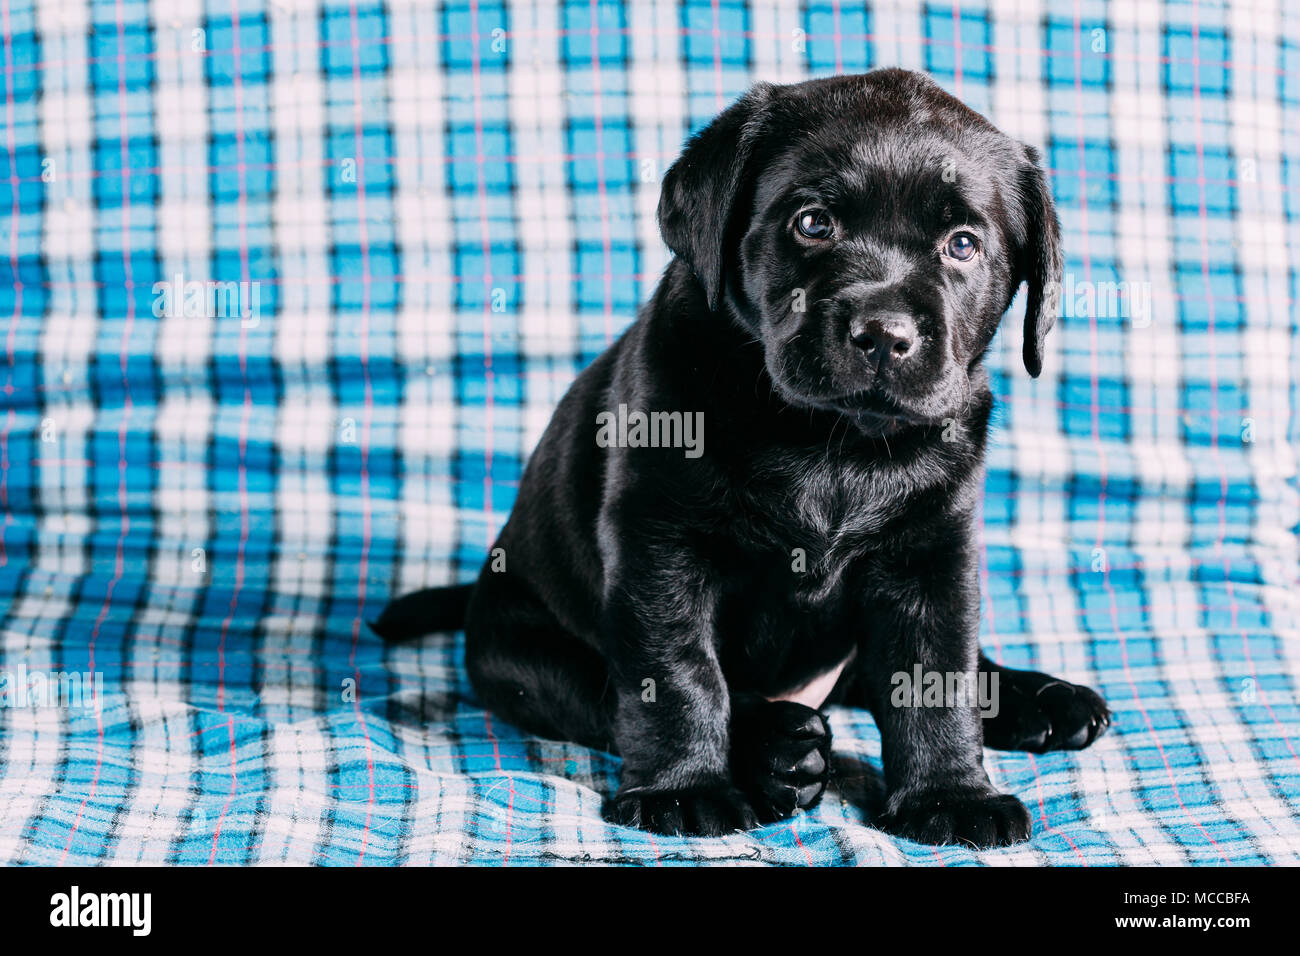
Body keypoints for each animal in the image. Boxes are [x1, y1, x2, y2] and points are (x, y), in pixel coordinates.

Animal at [374, 67, 1107, 842]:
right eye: (812, 223)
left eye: (963, 244)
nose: (884, 334)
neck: (832, 441)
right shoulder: (658, 541)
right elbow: (677, 674)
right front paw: (685, 789)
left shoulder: (933, 553)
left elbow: (937, 674)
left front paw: (949, 794)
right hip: (521, 653)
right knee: (608, 693)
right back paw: (778, 746)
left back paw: (1041, 698)